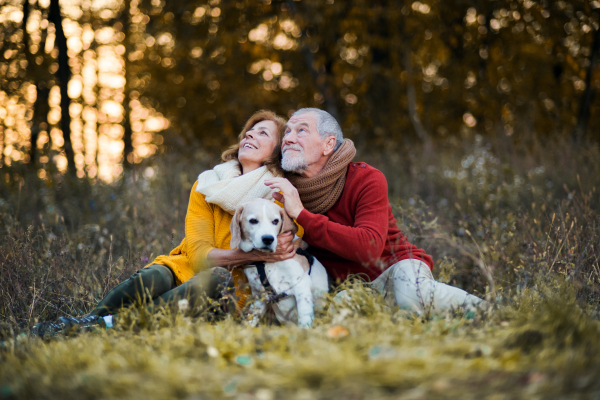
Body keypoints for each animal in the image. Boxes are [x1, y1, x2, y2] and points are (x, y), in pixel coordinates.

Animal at [230, 198, 328, 326]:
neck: (265, 262)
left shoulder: (301, 284)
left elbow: (304, 315)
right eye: (253, 221)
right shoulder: (260, 295)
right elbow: (253, 317)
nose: (268, 239)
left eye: (275, 221)